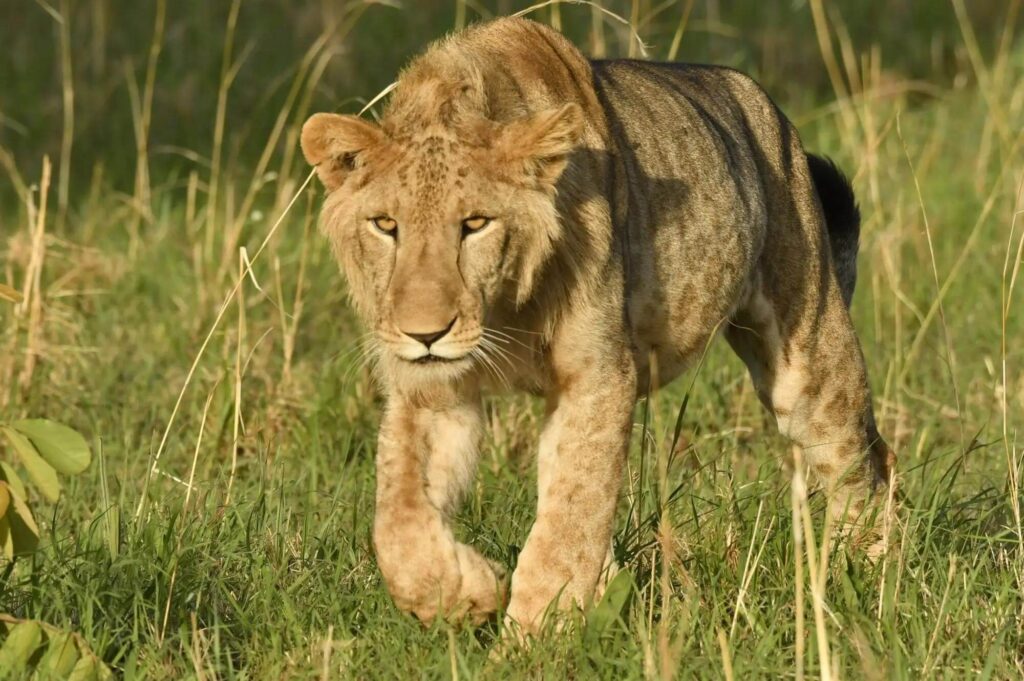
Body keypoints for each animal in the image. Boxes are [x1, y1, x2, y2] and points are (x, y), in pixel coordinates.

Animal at [300, 16, 895, 636]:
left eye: (476, 223)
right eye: (385, 225)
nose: (425, 334)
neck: (503, 312)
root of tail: (770, 109)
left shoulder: (600, 375)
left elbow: (570, 520)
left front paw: (535, 636)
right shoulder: (431, 389)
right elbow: (399, 514)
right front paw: (462, 593)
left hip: (808, 353)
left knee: (866, 460)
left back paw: (861, 580)